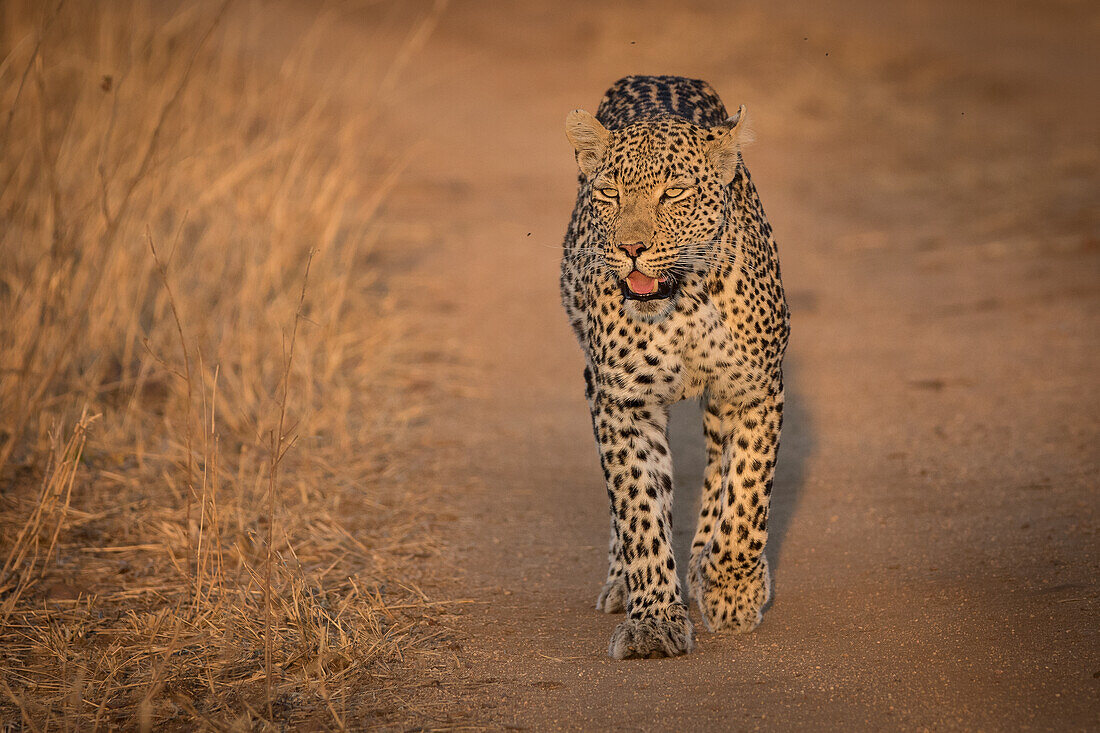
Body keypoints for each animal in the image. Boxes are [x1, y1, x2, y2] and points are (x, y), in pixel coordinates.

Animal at [563, 75, 787, 655]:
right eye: (610, 194)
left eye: (674, 193)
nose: (630, 248)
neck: (680, 301)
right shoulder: (623, 402)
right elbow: (640, 510)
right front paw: (654, 620)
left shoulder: (755, 391)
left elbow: (746, 500)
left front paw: (731, 590)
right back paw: (623, 583)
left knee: (715, 478)